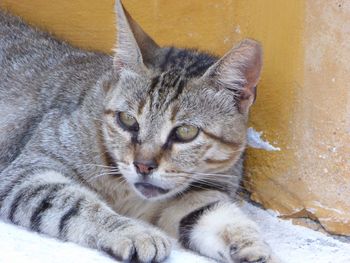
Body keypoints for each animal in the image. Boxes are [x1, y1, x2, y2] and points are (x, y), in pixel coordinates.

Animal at [0, 1, 278, 263]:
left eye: (185, 132)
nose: (143, 166)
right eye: (127, 120)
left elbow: (220, 217)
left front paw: (253, 246)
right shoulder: (31, 170)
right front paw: (134, 232)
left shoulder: (199, 192)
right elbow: (77, 204)